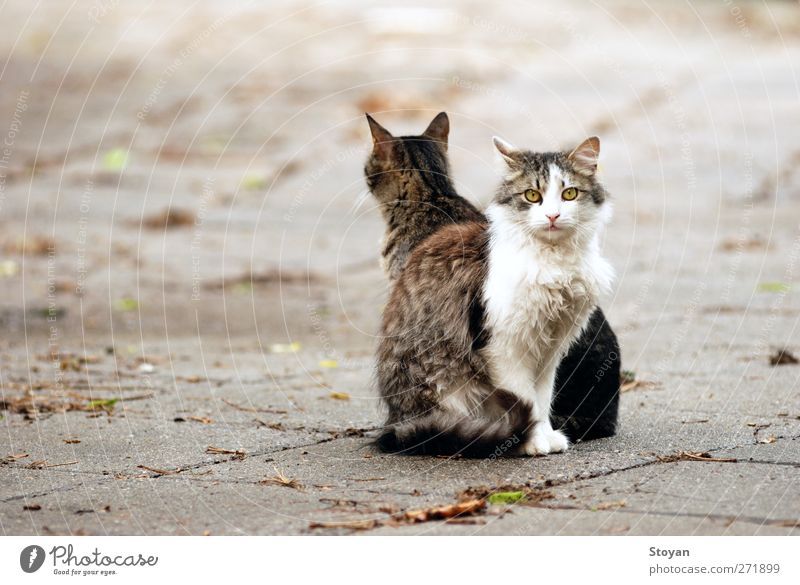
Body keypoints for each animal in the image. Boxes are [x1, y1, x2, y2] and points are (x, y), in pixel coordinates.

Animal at [366, 112, 620, 454]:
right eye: (532, 196)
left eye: (569, 194)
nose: (552, 216)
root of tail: (398, 422)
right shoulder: (505, 345)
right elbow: (526, 398)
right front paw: (531, 441)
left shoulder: (551, 348)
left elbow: (541, 398)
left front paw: (544, 437)